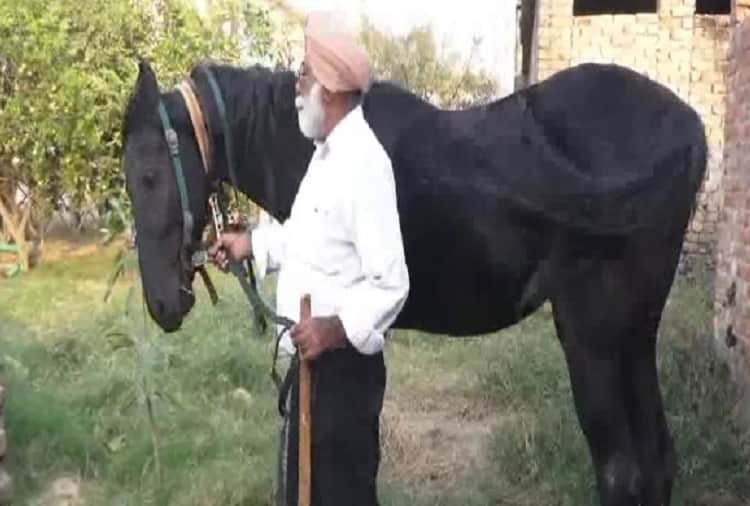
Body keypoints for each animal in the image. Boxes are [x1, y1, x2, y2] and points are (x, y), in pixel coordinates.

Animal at [121, 59, 707, 506]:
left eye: (148, 176)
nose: (163, 304)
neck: (315, 144)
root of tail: (690, 130)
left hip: (593, 341)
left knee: (621, 472)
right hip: (636, 339)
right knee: (658, 462)